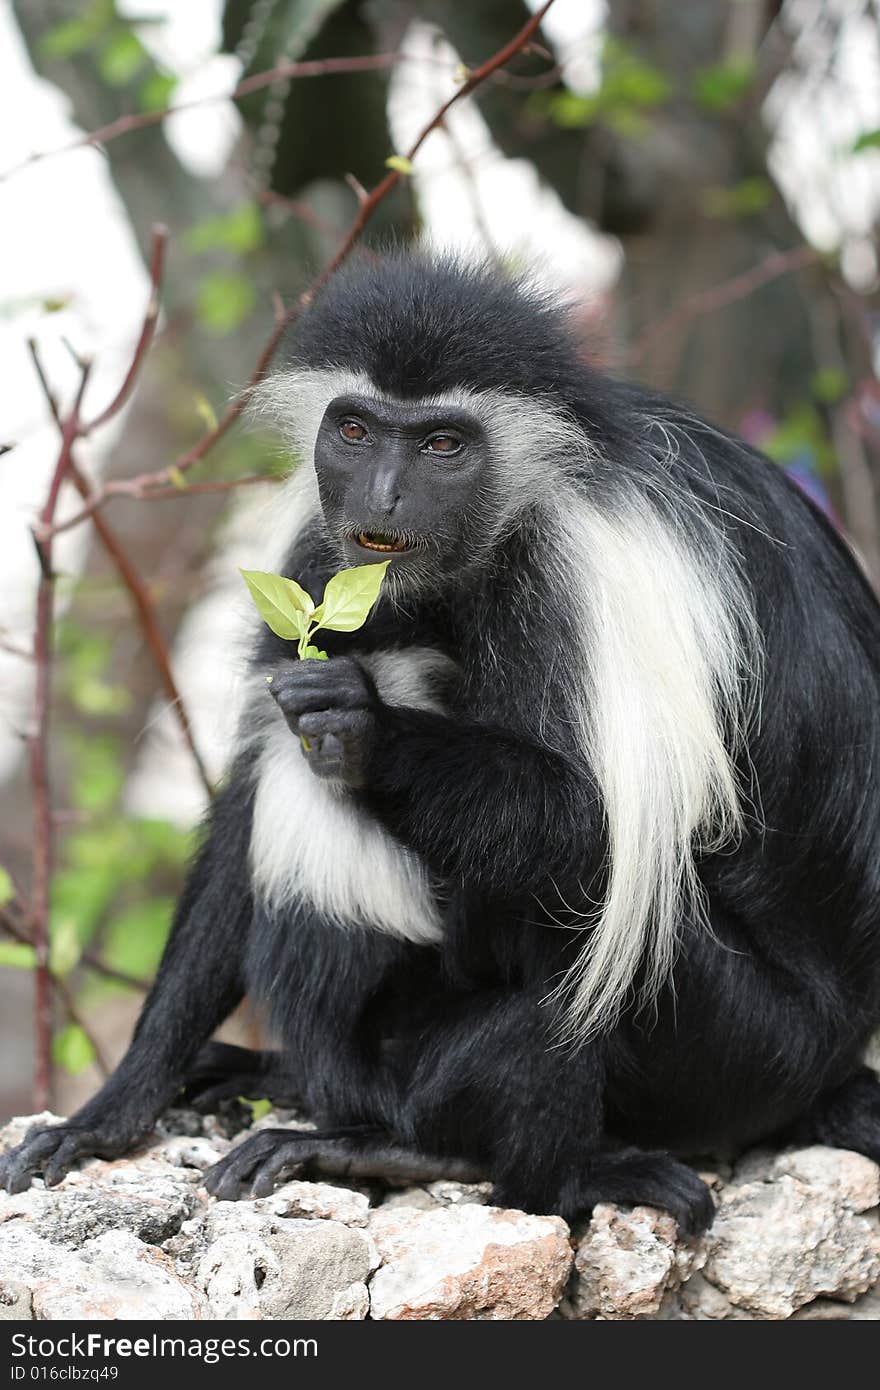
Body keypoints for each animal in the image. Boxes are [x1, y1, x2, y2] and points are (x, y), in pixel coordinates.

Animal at [5, 255, 878, 1234]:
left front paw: (371, 729)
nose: (383, 496)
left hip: (742, 1046)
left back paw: (443, 1153)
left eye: (444, 446)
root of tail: (835, 1055)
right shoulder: (323, 562)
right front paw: (113, 1111)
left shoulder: (589, 571)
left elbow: (605, 837)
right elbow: (246, 801)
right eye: (354, 429)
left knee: (595, 925)